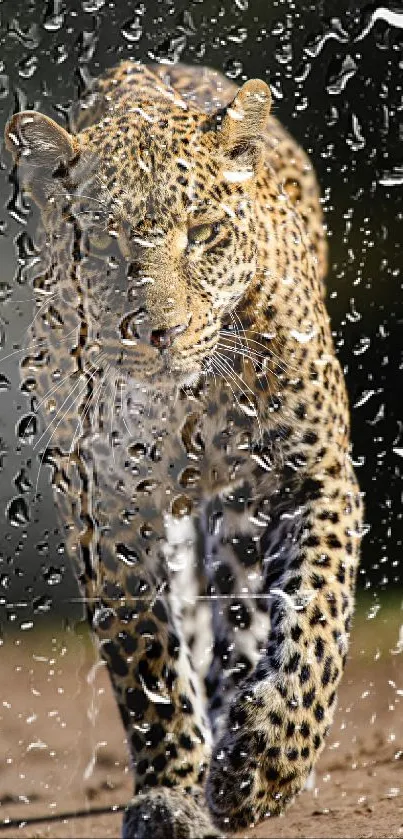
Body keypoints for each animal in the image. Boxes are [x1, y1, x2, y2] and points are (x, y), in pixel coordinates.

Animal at [3, 62, 362, 836]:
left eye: (202, 234)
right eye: (104, 247)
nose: (158, 332)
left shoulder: (312, 477)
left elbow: (314, 617)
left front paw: (265, 762)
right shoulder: (106, 505)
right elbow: (146, 654)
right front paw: (170, 789)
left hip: (241, 518)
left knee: (246, 614)